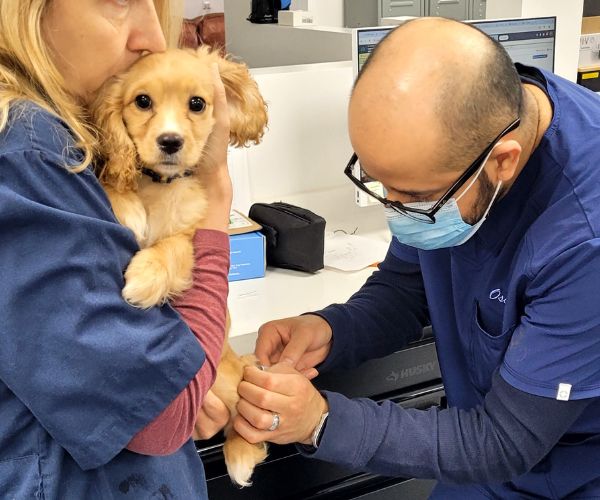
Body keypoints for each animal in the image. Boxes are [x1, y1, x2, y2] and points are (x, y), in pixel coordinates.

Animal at [92, 48, 270, 486]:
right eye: (142, 101)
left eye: (197, 104)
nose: (170, 141)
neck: (160, 185)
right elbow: (115, 184)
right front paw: (126, 205)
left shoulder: (194, 232)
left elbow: (172, 247)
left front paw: (144, 278)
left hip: (224, 383)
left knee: (244, 418)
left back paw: (240, 456)